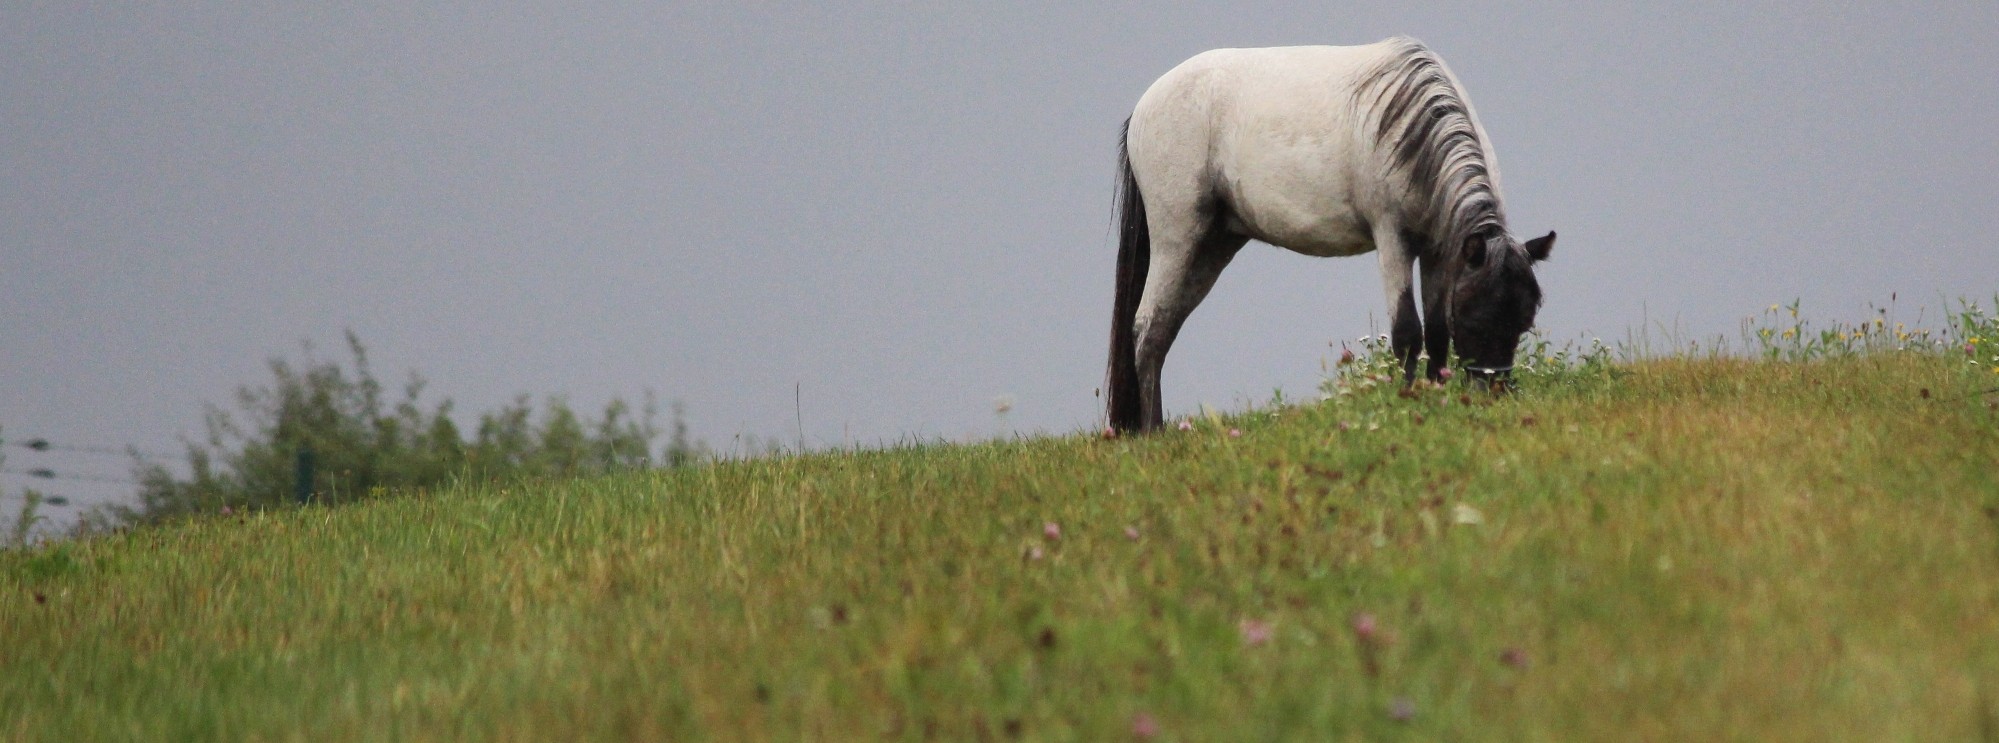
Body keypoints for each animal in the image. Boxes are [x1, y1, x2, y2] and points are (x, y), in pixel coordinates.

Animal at [1103, 39, 1551, 435]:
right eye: (1476, 315)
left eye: (1525, 318)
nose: (1493, 392)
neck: (1409, 122)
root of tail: (1144, 107)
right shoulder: (1393, 240)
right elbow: (1408, 332)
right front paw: (1409, 402)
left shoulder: (1440, 251)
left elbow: (1438, 332)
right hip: (1176, 240)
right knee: (1147, 327)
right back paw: (1152, 430)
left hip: (1211, 248)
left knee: (1165, 327)